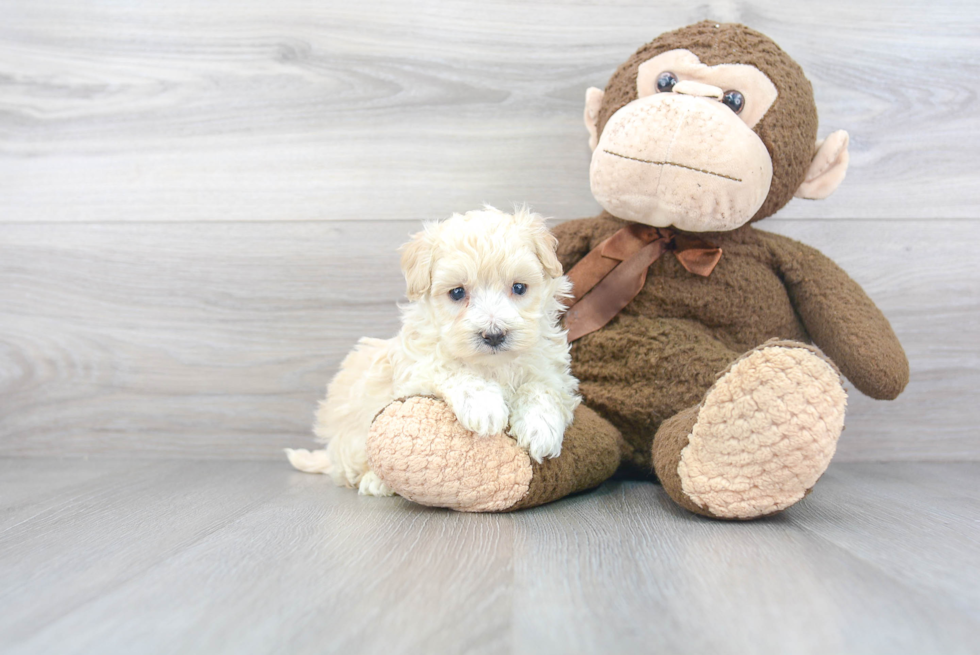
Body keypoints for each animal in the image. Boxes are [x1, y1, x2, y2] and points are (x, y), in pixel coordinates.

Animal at [288, 208, 584, 494]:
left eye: (519, 287)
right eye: (457, 293)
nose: (494, 335)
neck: (493, 364)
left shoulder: (552, 370)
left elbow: (542, 389)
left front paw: (540, 427)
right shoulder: (416, 370)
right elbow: (452, 370)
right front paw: (484, 405)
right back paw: (375, 482)